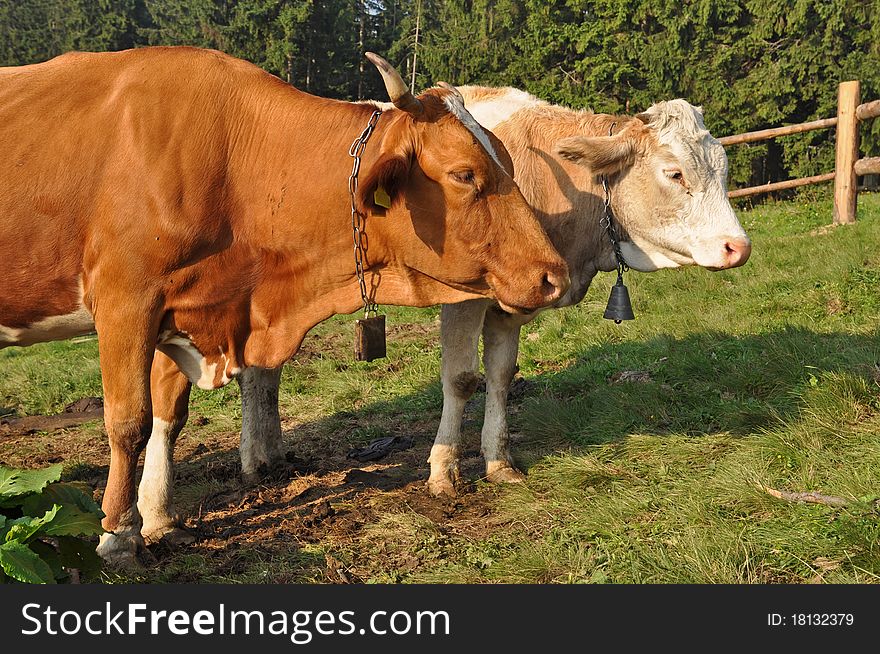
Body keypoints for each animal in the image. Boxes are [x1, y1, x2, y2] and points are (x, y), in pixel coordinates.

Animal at [0, 48, 568, 568]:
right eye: (465, 174)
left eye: (506, 163)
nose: (553, 276)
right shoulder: (126, 300)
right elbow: (129, 422)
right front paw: (118, 535)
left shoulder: (181, 309)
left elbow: (169, 415)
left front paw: (159, 517)